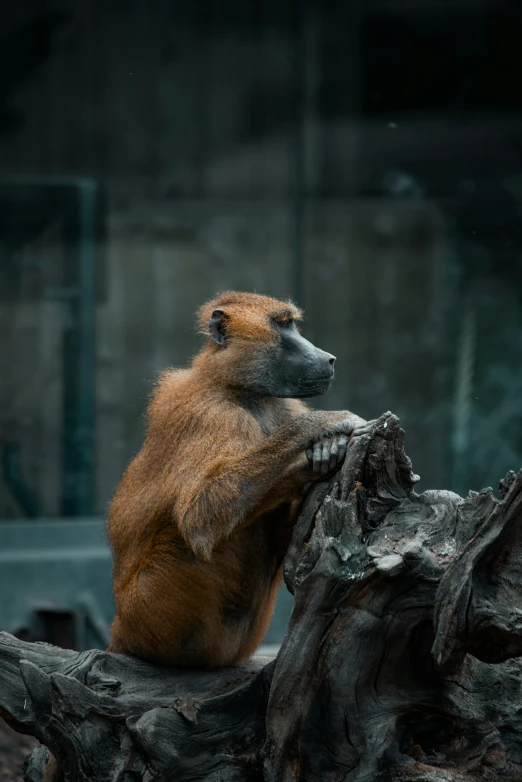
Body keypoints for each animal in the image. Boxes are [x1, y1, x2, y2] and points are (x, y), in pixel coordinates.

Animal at [107, 290, 364, 672]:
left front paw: (324, 453)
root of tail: (119, 633)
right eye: (282, 325)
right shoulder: (211, 417)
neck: (239, 390)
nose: (329, 359)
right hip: (152, 615)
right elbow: (200, 515)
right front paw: (321, 428)